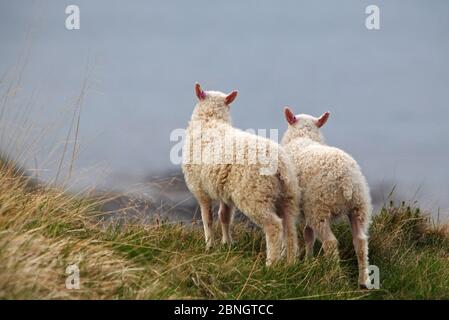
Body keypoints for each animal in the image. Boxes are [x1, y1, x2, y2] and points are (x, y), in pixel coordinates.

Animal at [180, 82, 300, 264]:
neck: (210, 121)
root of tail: (280, 164)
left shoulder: (200, 190)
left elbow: (207, 219)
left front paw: (209, 246)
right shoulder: (225, 191)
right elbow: (224, 217)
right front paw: (227, 244)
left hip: (255, 195)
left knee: (274, 226)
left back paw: (271, 263)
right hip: (287, 196)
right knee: (290, 227)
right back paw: (291, 262)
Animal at [280, 107, 372, 288]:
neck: (303, 137)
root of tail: (345, 180)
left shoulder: (300, 207)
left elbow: (301, 234)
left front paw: (299, 260)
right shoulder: (306, 209)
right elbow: (308, 234)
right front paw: (308, 261)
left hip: (320, 207)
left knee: (330, 242)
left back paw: (336, 277)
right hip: (359, 206)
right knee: (360, 241)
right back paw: (363, 281)